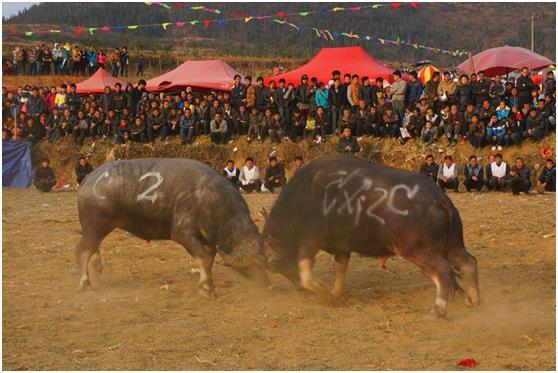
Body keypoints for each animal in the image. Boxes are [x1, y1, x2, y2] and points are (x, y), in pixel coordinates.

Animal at [76, 158, 270, 296]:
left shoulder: (207, 240)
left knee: (91, 248)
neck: (208, 199)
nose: (265, 283)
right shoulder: (183, 234)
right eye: (257, 265)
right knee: (84, 250)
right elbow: (203, 259)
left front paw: (207, 283)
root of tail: (88, 179)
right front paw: (206, 288)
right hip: (95, 226)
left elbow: (208, 260)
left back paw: (96, 266)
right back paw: (85, 283)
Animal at [264, 154, 482, 314]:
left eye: (278, 265)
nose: (300, 292)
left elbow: (306, 273)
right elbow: (340, 269)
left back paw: (439, 309)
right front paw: (336, 294)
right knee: (468, 263)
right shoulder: (342, 247)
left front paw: (325, 295)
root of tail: (440, 200)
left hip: (417, 250)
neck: (306, 195)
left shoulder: (310, 239)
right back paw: (473, 300)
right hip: (453, 246)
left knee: (443, 270)